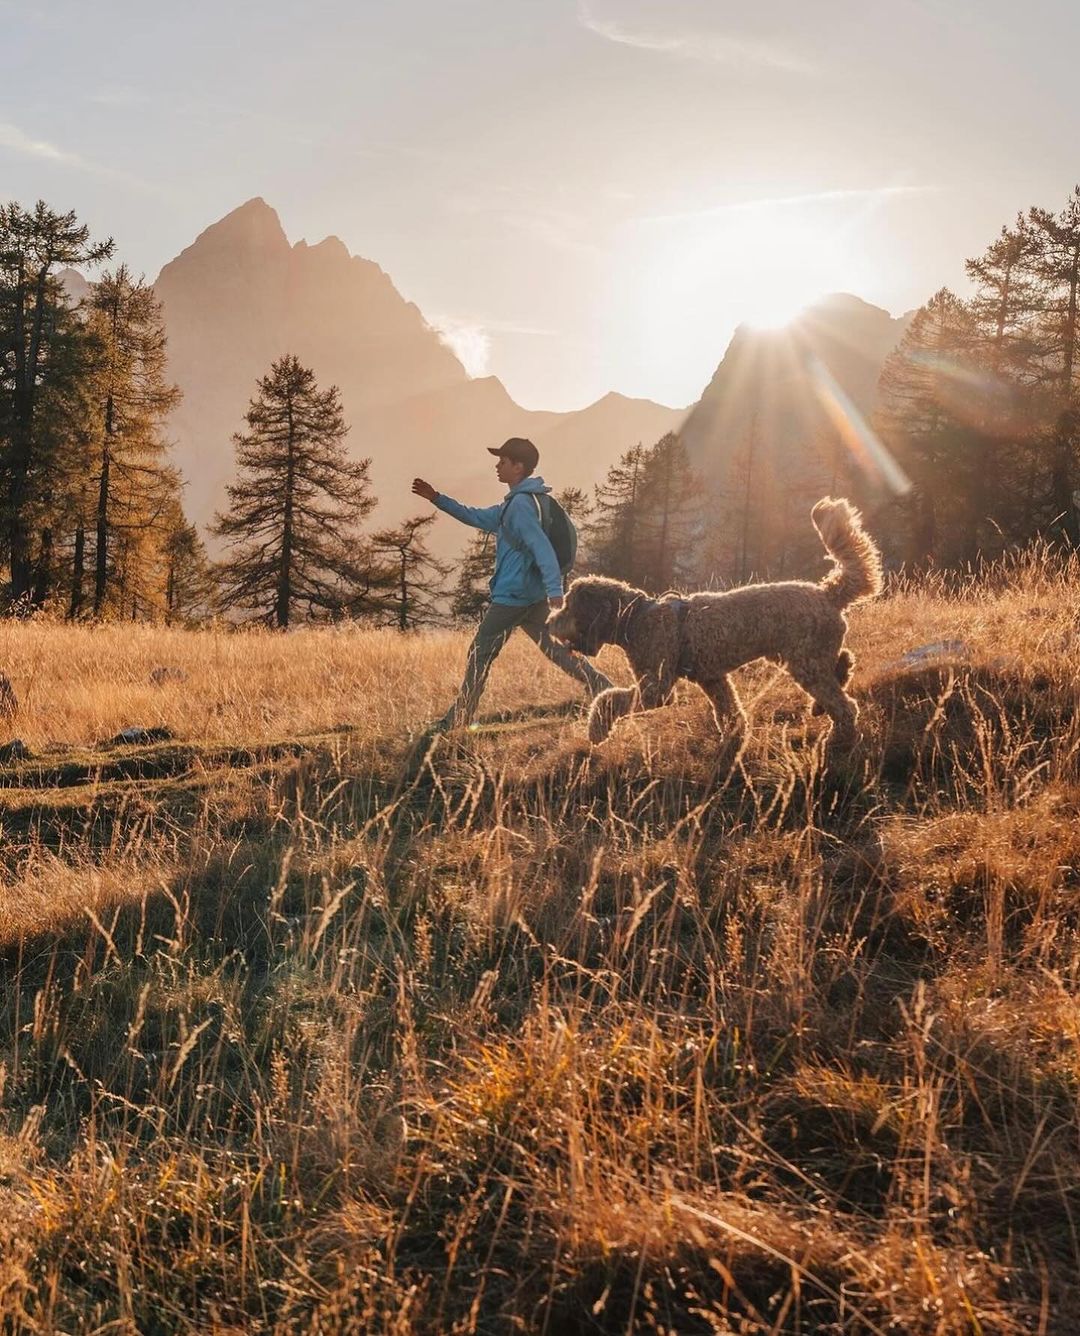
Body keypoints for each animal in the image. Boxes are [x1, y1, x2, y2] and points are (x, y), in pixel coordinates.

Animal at [548, 496, 876, 758]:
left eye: (568, 606)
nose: (550, 621)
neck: (636, 618)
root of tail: (829, 592)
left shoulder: (657, 688)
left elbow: (611, 699)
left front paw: (597, 729)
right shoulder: (712, 678)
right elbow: (729, 713)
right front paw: (733, 742)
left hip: (804, 662)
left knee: (844, 706)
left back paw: (839, 739)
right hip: (797, 655)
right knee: (843, 661)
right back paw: (827, 697)